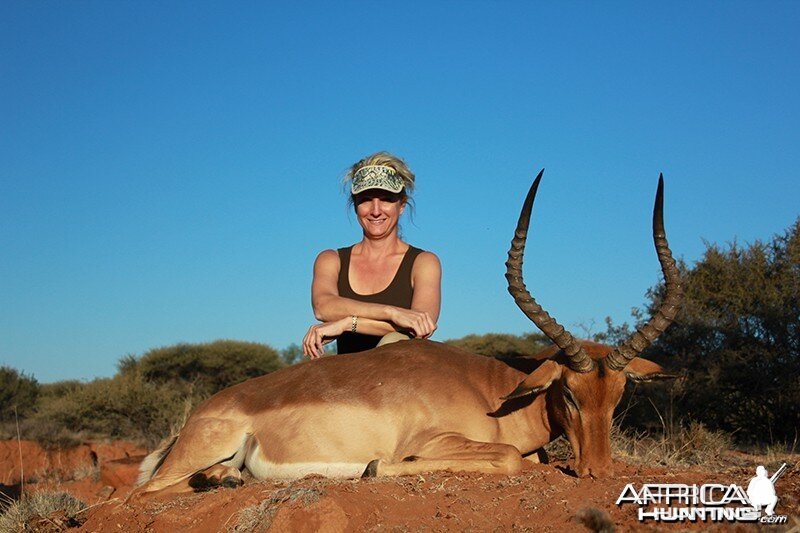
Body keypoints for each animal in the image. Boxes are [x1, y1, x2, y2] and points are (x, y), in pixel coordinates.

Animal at [131, 168, 680, 496]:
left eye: (619, 395)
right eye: (568, 392)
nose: (600, 474)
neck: (493, 393)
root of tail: (198, 415)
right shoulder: (436, 441)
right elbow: (508, 458)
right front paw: (374, 468)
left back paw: (227, 479)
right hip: (192, 457)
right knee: (144, 491)